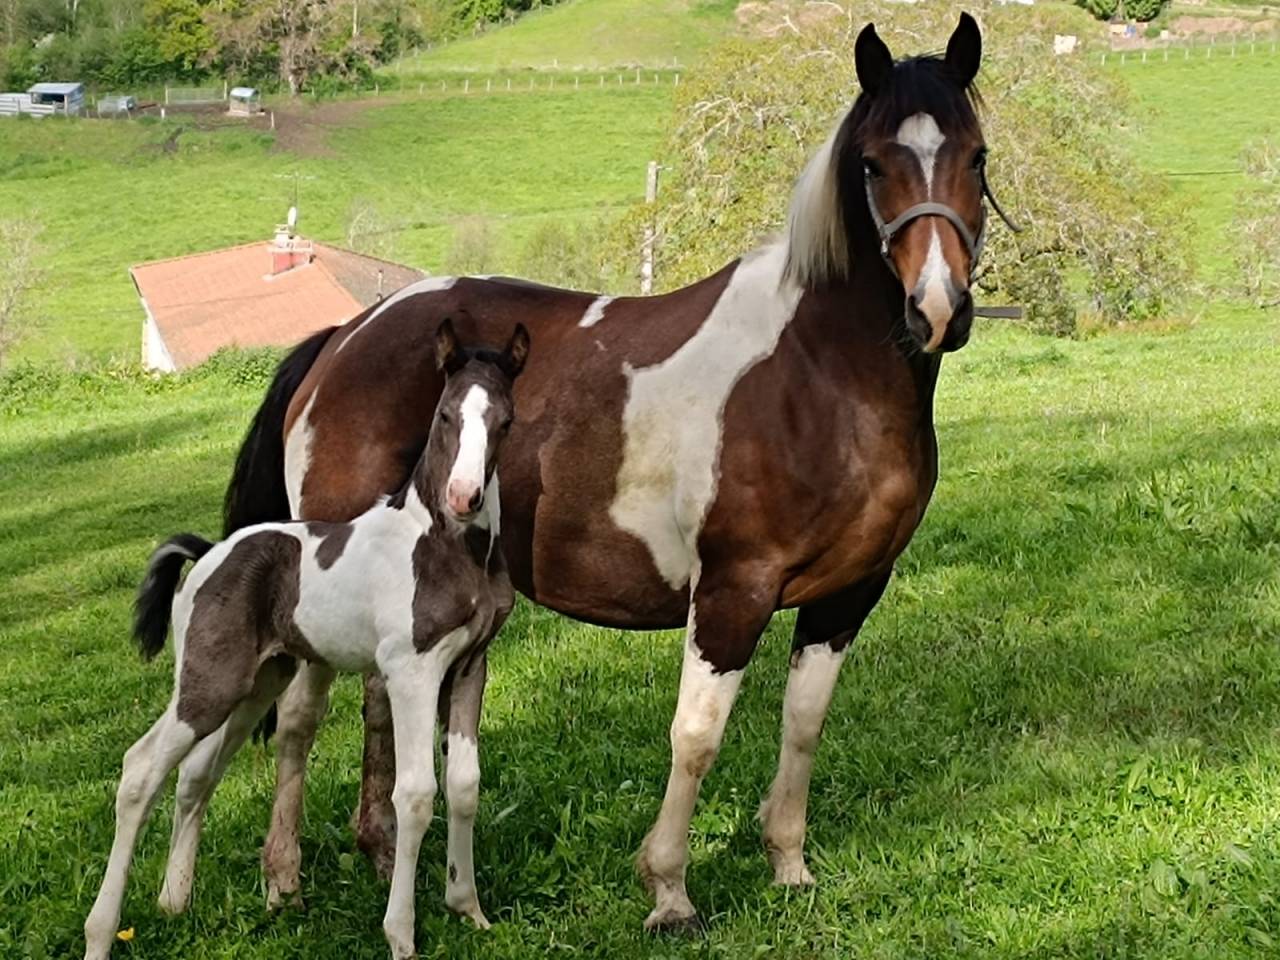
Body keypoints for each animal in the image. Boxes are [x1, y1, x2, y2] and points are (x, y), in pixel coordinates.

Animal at [84, 322, 529, 960]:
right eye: (444, 414)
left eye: (505, 421)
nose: (464, 497)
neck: (446, 546)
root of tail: (210, 553)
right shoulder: (411, 670)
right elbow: (415, 794)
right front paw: (401, 934)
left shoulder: (471, 664)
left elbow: (464, 785)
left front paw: (469, 910)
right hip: (209, 682)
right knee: (141, 768)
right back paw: (100, 934)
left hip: (257, 681)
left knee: (198, 771)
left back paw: (174, 901)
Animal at [223, 13, 1004, 931]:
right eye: (876, 163)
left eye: (977, 157)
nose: (937, 309)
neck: (819, 374)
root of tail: (345, 338)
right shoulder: (733, 593)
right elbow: (696, 736)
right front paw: (668, 890)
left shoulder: (848, 595)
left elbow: (804, 724)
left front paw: (788, 864)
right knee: (302, 715)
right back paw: (283, 877)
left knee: (379, 697)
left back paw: (382, 855)